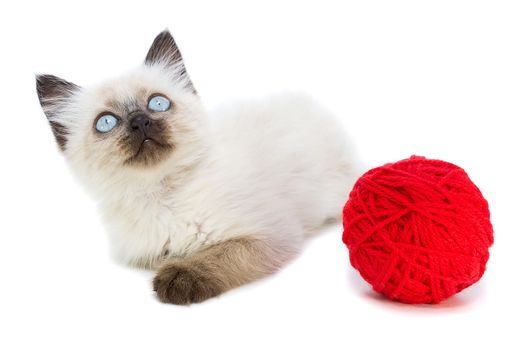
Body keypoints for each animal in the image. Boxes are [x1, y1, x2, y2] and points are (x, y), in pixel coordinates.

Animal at [36, 30, 354, 304]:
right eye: (106, 122)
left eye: (158, 104)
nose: (140, 121)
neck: (161, 197)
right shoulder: (146, 253)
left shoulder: (268, 235)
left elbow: (218, 255)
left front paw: (177, 279)